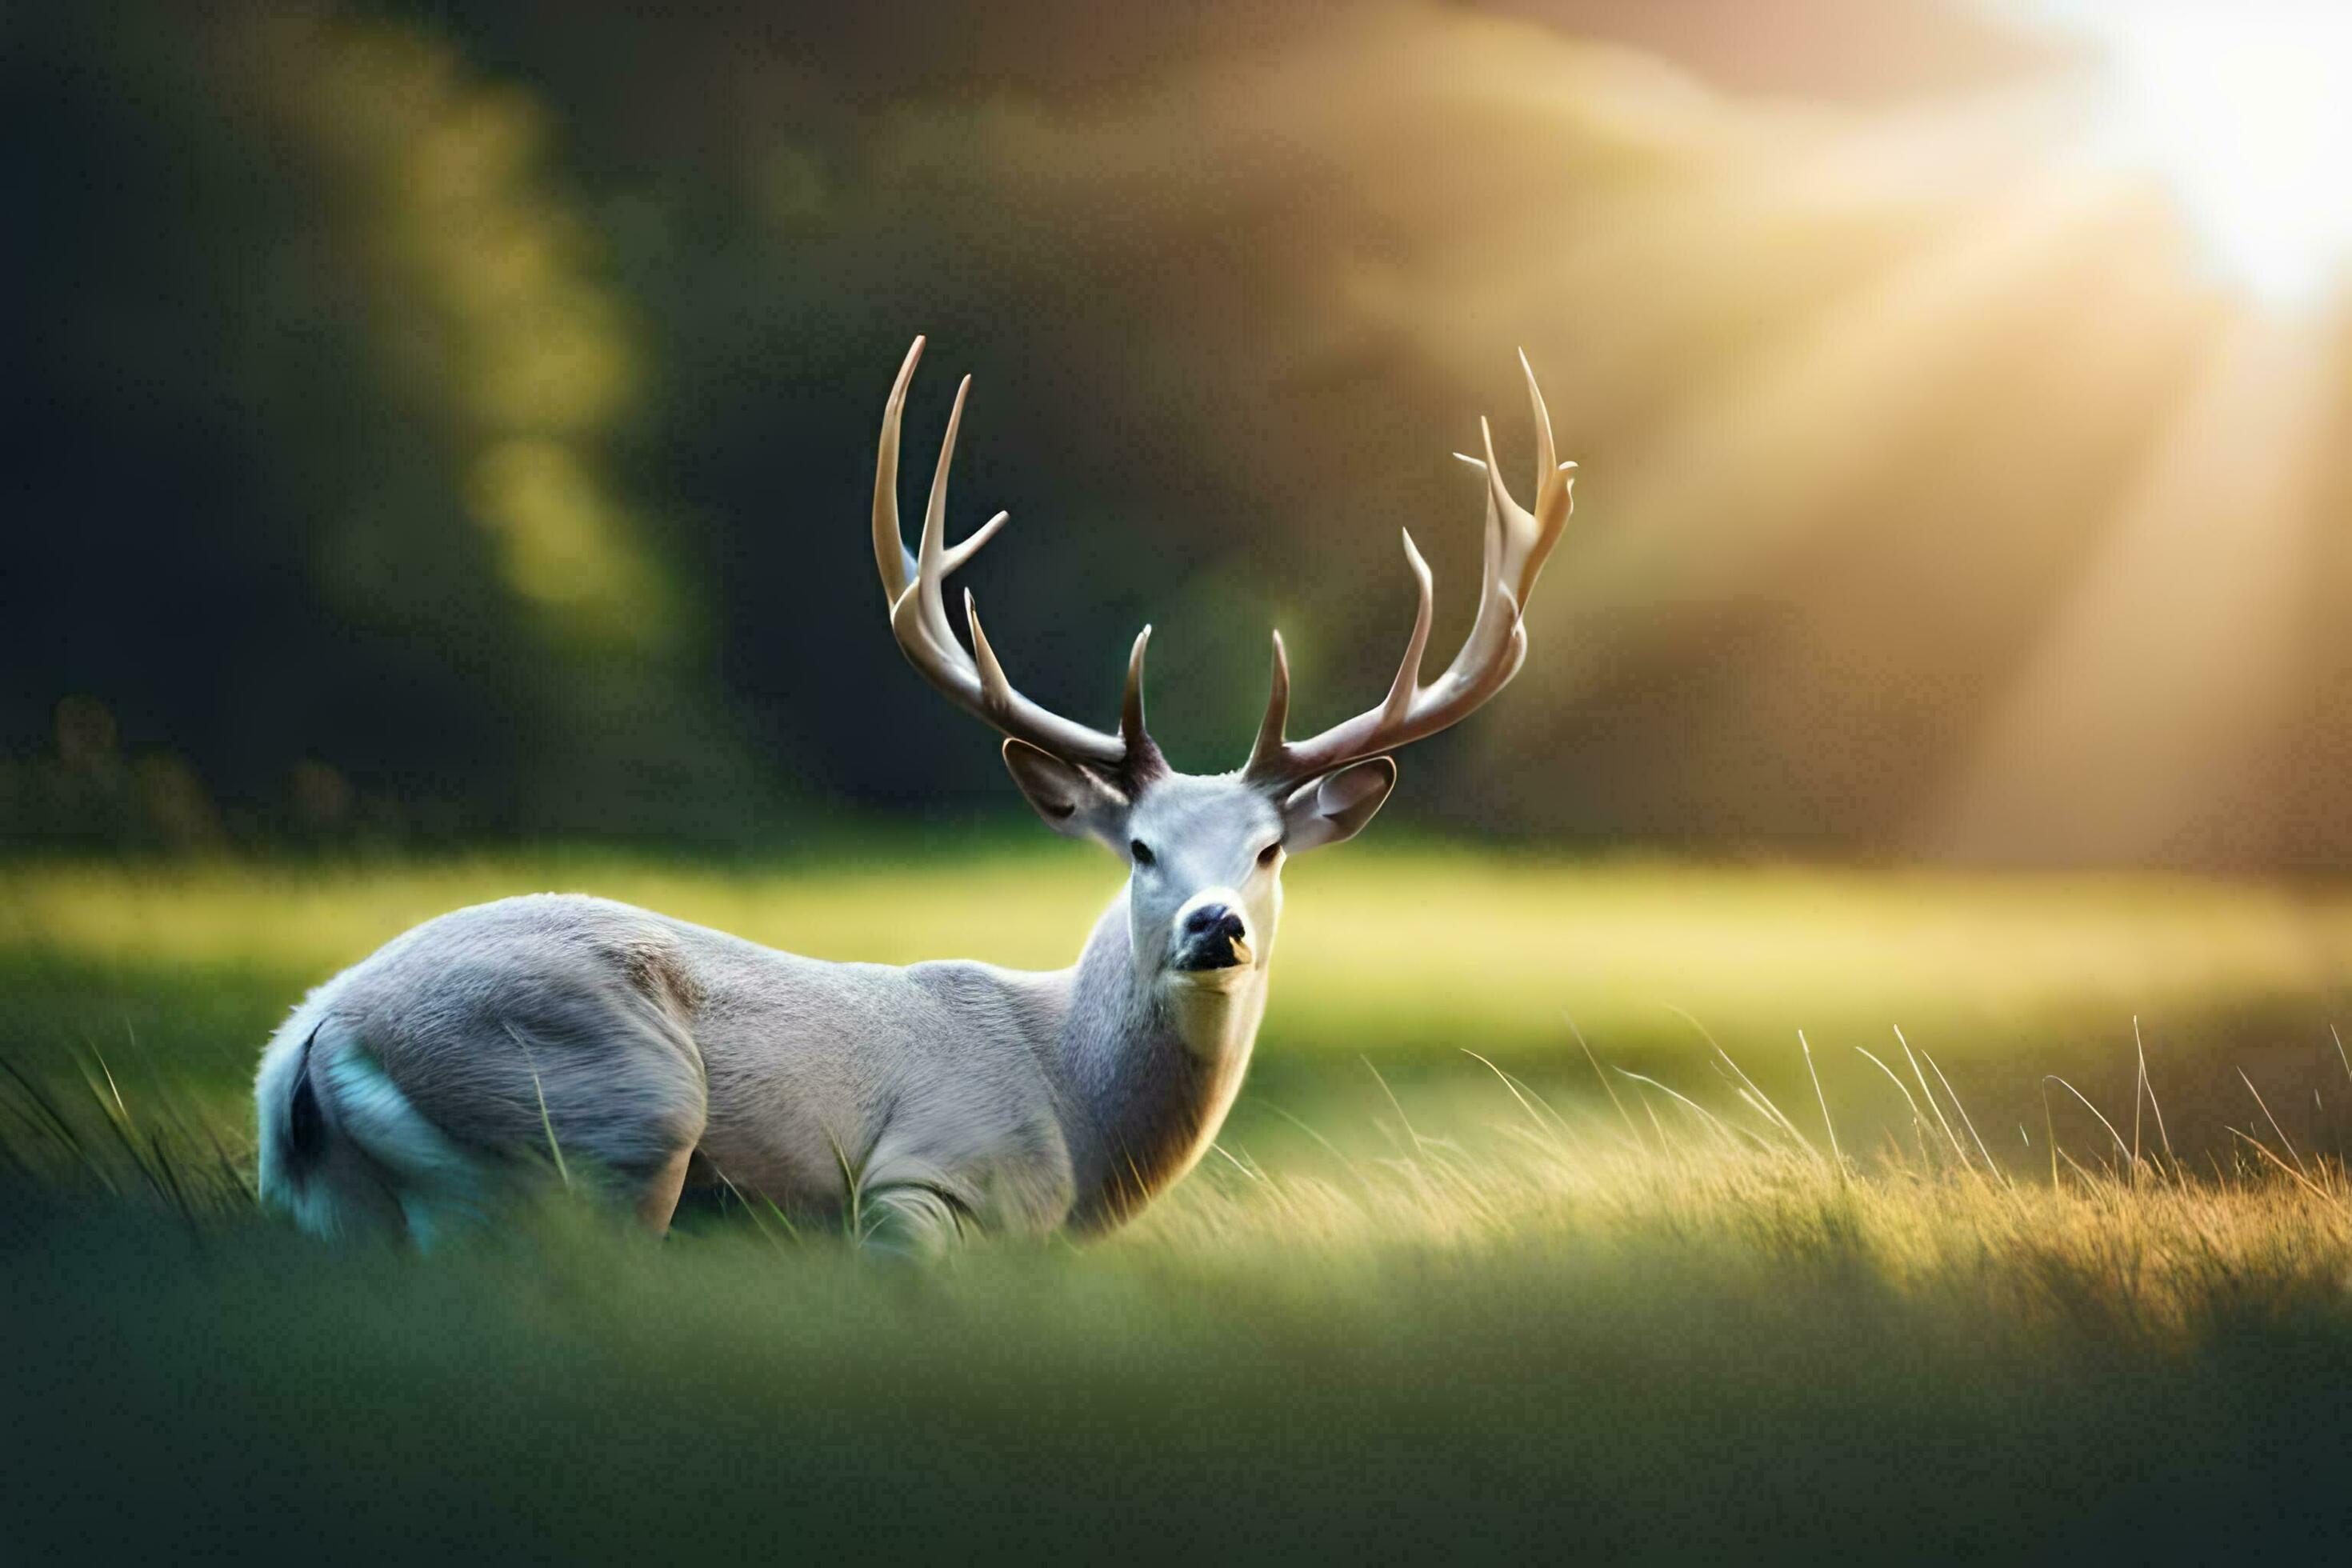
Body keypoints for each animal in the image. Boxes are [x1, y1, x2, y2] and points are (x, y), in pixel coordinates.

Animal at [253, 338, 1575, 1252]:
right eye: (1141, 849)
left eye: (1268, 850)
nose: (1217, 927)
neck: (1075, 1122)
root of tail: (307, 1046)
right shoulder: (916, 1183)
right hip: (607, 1115)